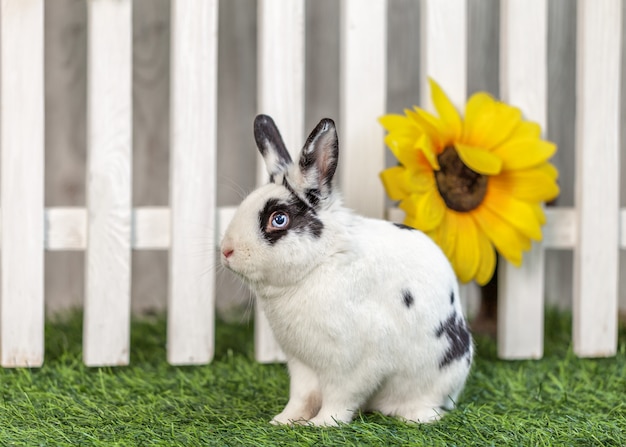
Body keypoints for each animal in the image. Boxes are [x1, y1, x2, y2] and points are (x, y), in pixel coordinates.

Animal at [219, 115, 468, 428]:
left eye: (279, 219)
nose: (226, 251)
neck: (319, 263)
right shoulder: (301, 364)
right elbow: (301, 397)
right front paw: (284, 421)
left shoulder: (351, 366)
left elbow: (339, 400)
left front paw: (320, 425)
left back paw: (414, 417)